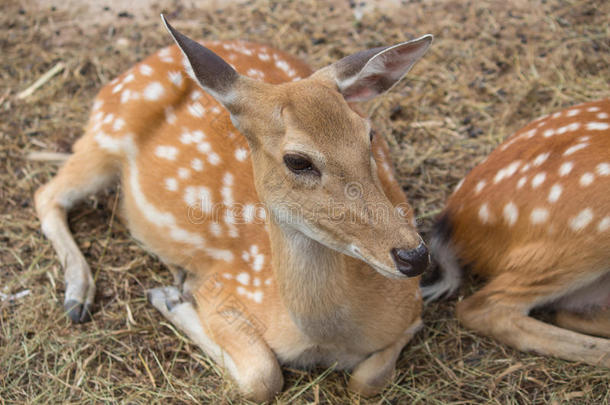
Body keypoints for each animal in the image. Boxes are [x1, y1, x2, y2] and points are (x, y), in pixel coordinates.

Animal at [34, 16, 432, 400]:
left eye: (369, 134)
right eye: (298, 161)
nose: (415, 256)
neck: (323, 340)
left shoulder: (413, 308)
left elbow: (366, 380)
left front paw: (173, 292)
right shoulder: (223, 288)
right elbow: (262, 376)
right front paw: (172, 297)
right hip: (108, 133)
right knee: (47, 193)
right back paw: (79, 295)